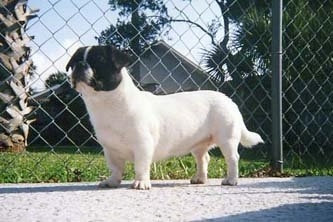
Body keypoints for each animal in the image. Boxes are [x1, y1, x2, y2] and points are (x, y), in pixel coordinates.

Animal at [65, 45, 262, 189]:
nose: (79, 65)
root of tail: (230, 101)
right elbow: (115, 168)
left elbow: (141, 166)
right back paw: (200, 178)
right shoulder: (110, 150)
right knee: (203, 158)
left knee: (232, 158)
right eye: (74, 63)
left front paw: (141, 182)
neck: (107, 104)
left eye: (98, 61)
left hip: (226, 139)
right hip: (198, 145)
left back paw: (231, 180)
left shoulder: (143, 146)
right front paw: (113, 181)